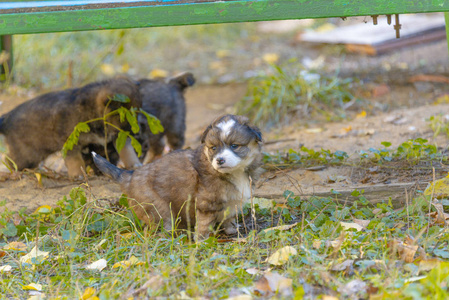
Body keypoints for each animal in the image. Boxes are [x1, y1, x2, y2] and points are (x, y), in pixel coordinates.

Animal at [0, 78, 142, 179]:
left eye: (137, 112)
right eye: (127, 115)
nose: (136, 130)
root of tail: (7, 117)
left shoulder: (117, 137)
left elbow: (126, 150)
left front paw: (134, 164)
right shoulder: (71, 142)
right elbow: (75, 159)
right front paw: (77, 174)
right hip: (27, 154)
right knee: (10, 160)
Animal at [93, 113, 262, 238]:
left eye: (234, 146)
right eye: (213, 148)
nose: (220, 160)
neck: (234, 172)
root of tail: (130, 176)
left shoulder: (233, 202)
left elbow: (229, 218)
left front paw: (233, 230)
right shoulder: (206, 204)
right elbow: (204, 225)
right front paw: (202, 242)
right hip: (159, 210)